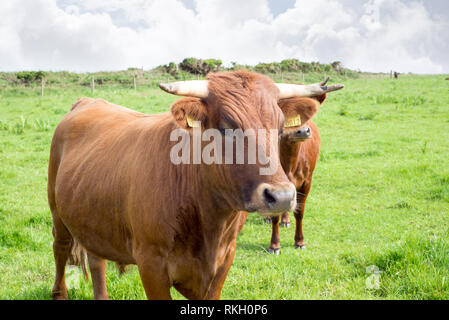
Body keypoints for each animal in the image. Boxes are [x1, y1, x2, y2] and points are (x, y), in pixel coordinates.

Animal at [49, 70, 342, 300]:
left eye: (280, 127)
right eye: (225, 127)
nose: (280, 196)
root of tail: (88, 101)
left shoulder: (224, 260)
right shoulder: (150, 264)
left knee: (95, 261)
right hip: (57, 213)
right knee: (60, 248)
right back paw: (59, 293)